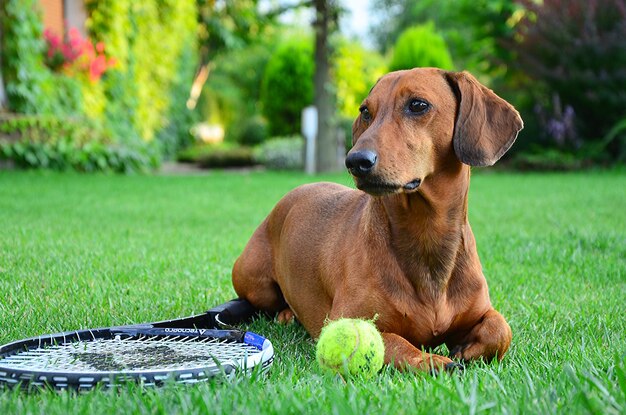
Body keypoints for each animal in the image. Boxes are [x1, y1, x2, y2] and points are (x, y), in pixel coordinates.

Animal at [232, 68, 520, 374]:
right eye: (366, 111)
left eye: (418, 105)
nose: (355, 161)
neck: (425, 234)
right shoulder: (345, 318)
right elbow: (394, 344)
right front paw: (429, 360)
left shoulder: (481, 311)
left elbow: (500, 329)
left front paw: (467, 349)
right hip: (255, 282)